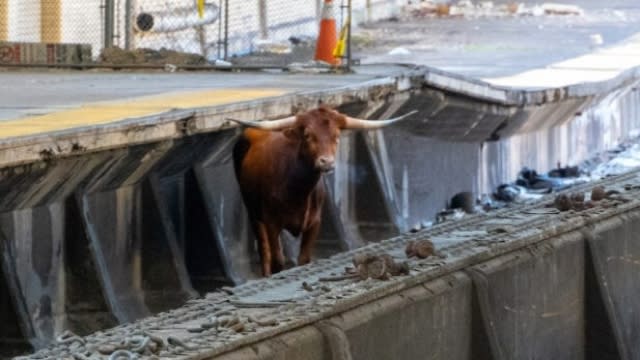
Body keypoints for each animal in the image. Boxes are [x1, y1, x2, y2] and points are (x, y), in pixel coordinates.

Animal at [229, 106, 416, 276]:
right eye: (308, 135)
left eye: (336, 136)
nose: (327, 162)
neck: (296, 191)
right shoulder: (271, 222)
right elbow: (277, 261)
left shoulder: (314, 222)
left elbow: (304, 259)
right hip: (253, 213)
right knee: (264, 251)